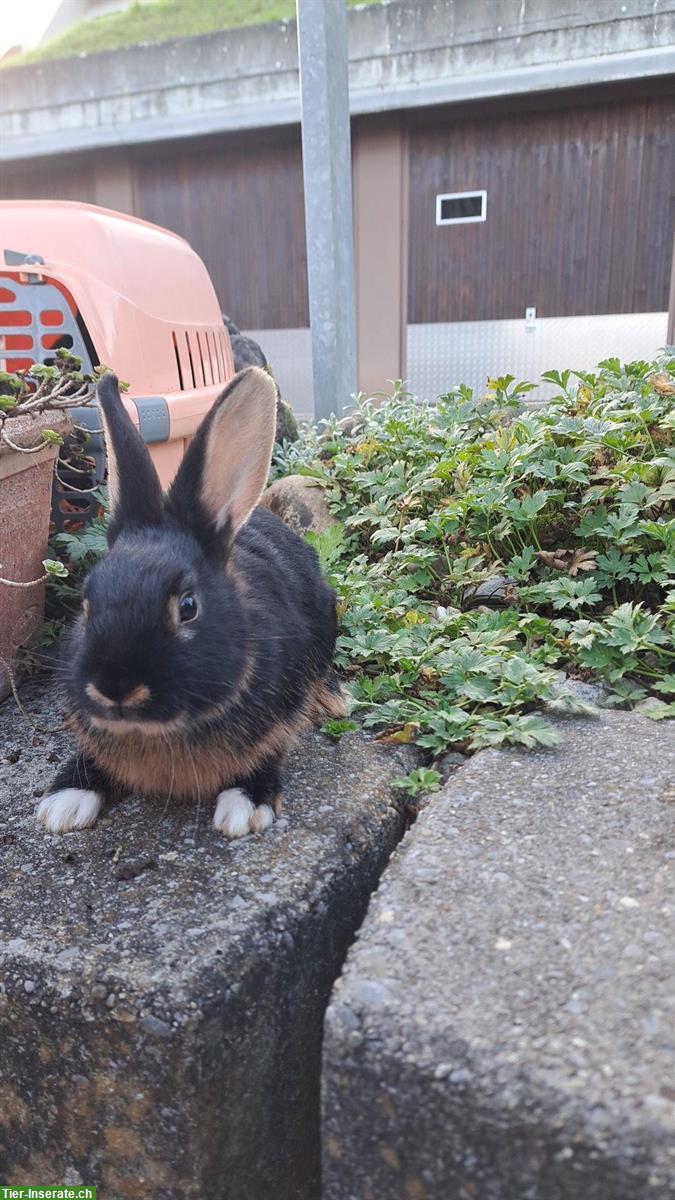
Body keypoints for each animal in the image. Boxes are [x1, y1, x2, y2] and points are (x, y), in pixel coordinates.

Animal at [36, 364, 343, 835]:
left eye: (188, 607)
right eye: (87, 602)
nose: (115, 688)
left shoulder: (279, 721)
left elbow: (270, 752)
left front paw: (245, 806)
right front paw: (63, 804)